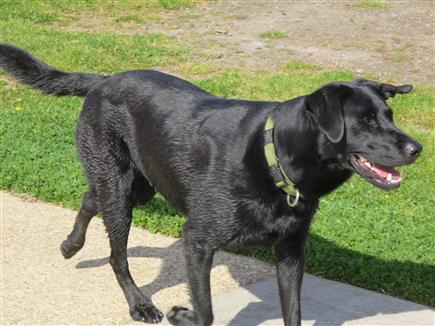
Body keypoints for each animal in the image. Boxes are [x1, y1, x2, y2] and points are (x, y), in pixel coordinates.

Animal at [0, 44, 422, 326]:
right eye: (364, 120)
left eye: (389, 115)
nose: (416, 148)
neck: (274, 160)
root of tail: (104, 81)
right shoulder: (198, 241)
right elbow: (206, 311)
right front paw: (181, 314)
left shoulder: (291, 252)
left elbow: (293, 313)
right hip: (120, 188)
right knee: (117, 254)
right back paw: (139, 304)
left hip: (140, 182)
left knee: (92, 197)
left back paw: (71, 245)